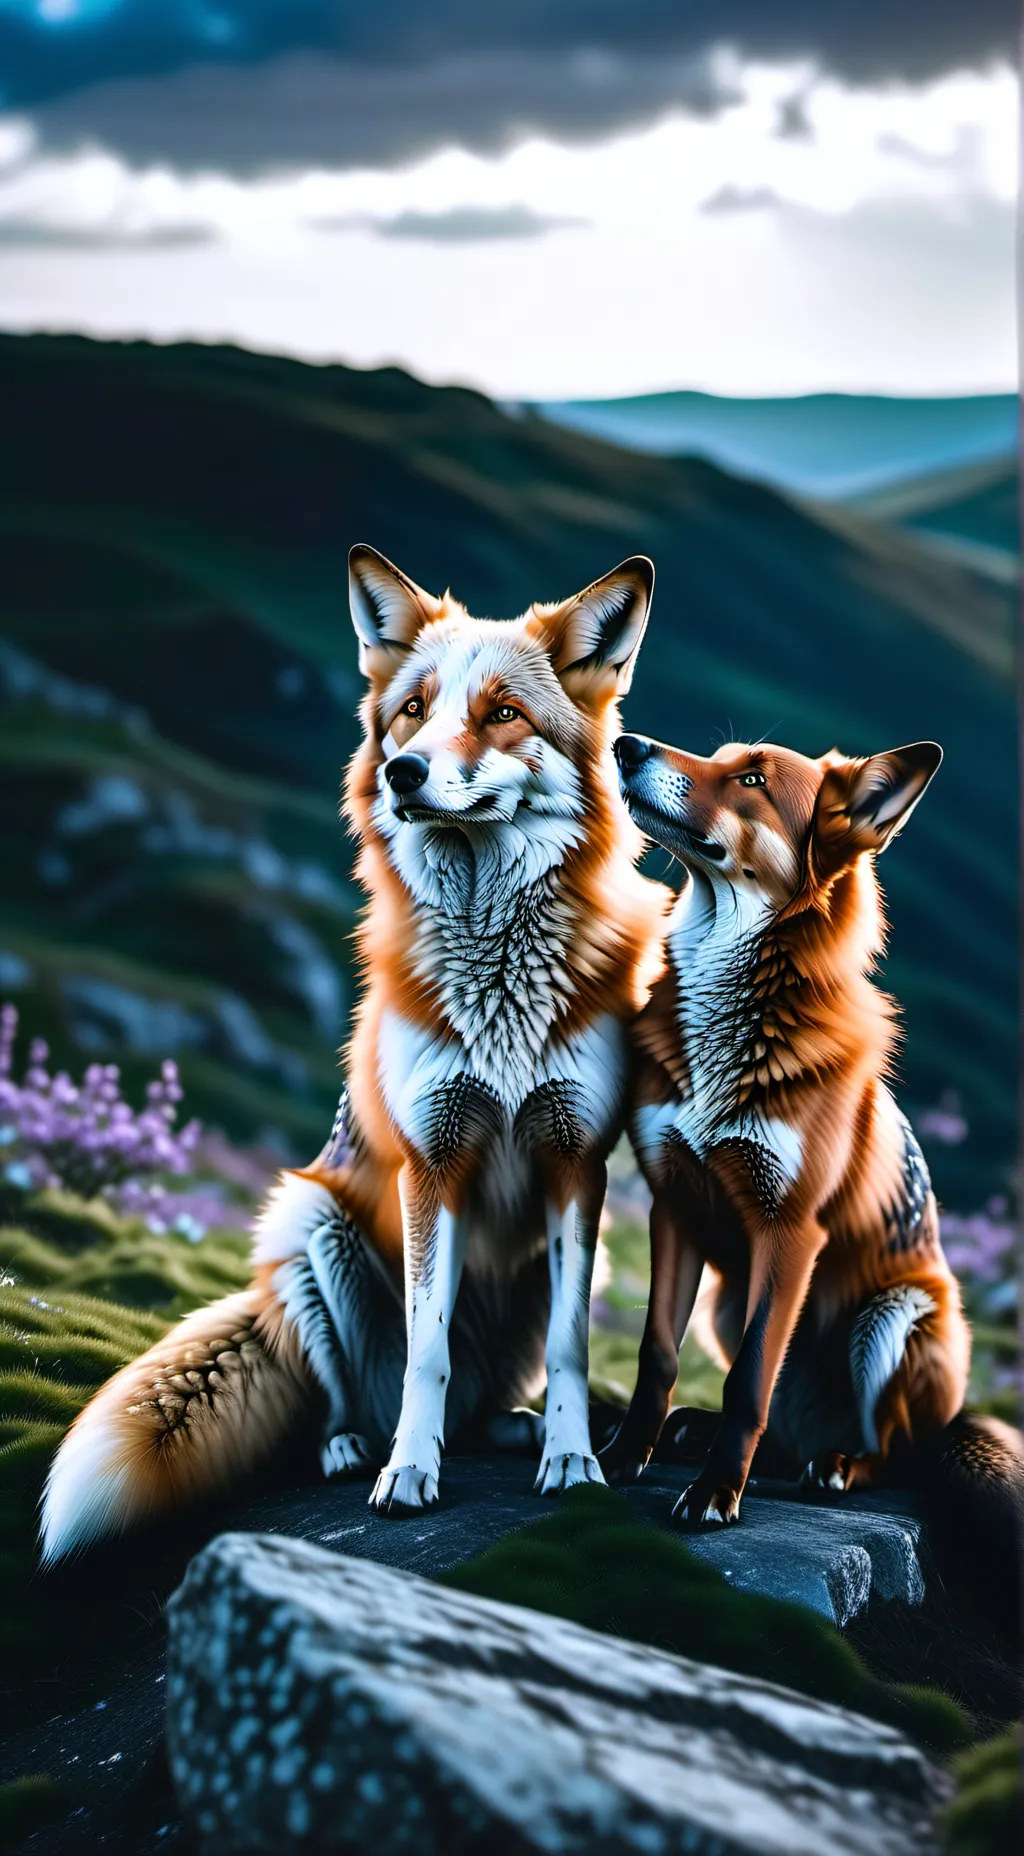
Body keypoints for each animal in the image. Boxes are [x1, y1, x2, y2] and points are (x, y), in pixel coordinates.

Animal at [40, 546, 668, 1561]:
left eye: (503, 713)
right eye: (413, 708)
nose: (405, 773)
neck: (498, 985)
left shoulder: (577, 1159)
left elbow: (572, 1349)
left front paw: (572, 1460)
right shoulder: (432, 1160)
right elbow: (426, 1353)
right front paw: (408, 1473)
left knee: (490, 1390)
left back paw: (509, 1427)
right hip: (311, 1229)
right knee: (351, 1391)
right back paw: (350, 1446)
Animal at [602, 729, 1022, 1597]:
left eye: (753, 780)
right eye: (720, 757)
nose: (626, 744)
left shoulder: (790, 1232)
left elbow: (747, 1383)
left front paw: (715, 1498)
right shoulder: (675, 1203)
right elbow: (658, 1355)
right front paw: (626, 1458)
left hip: (895, 1318)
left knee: (890, 1453)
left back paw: (833, 1465)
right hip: (728, 1301)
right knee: (781, 1426)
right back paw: (707, 1436)